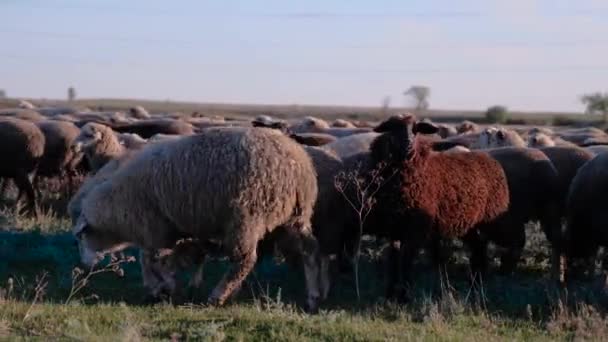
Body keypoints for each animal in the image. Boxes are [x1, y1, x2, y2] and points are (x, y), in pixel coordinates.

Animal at [71, 127, 326, 312]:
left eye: (81, 237)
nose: (84, 265)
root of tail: (298, 165)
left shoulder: (155, 229)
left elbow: (156, 261)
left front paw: (167, 288)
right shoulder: (161, 233)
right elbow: (154, 260)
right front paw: (158, 288)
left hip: (247, 216)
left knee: (244, 260)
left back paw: (218, 296)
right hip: (296, 216)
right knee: (310, 250)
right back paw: (313, 297)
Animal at [368, 115, 510, 300]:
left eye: (415, 129)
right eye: (394, 128)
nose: (408, 144)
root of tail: (490, 159)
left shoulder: (417, 228)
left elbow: (406, 259)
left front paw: (405, 295)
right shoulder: (394, 228)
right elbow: (392, 259)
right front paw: (390, 293)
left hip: (491, 219)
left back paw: (479, 282)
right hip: (468, 223)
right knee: (478, 247)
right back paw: (474, 283)